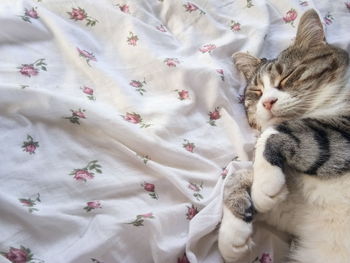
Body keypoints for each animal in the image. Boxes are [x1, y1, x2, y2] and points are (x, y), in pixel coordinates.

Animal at [219, 8, 350, 263]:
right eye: (257, 91)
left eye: (288, 76)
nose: (267, 102)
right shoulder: (300, 211)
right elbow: (238, 174)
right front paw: (232, 232)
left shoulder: (342, 133)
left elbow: (273, 132)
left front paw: (265, 182)